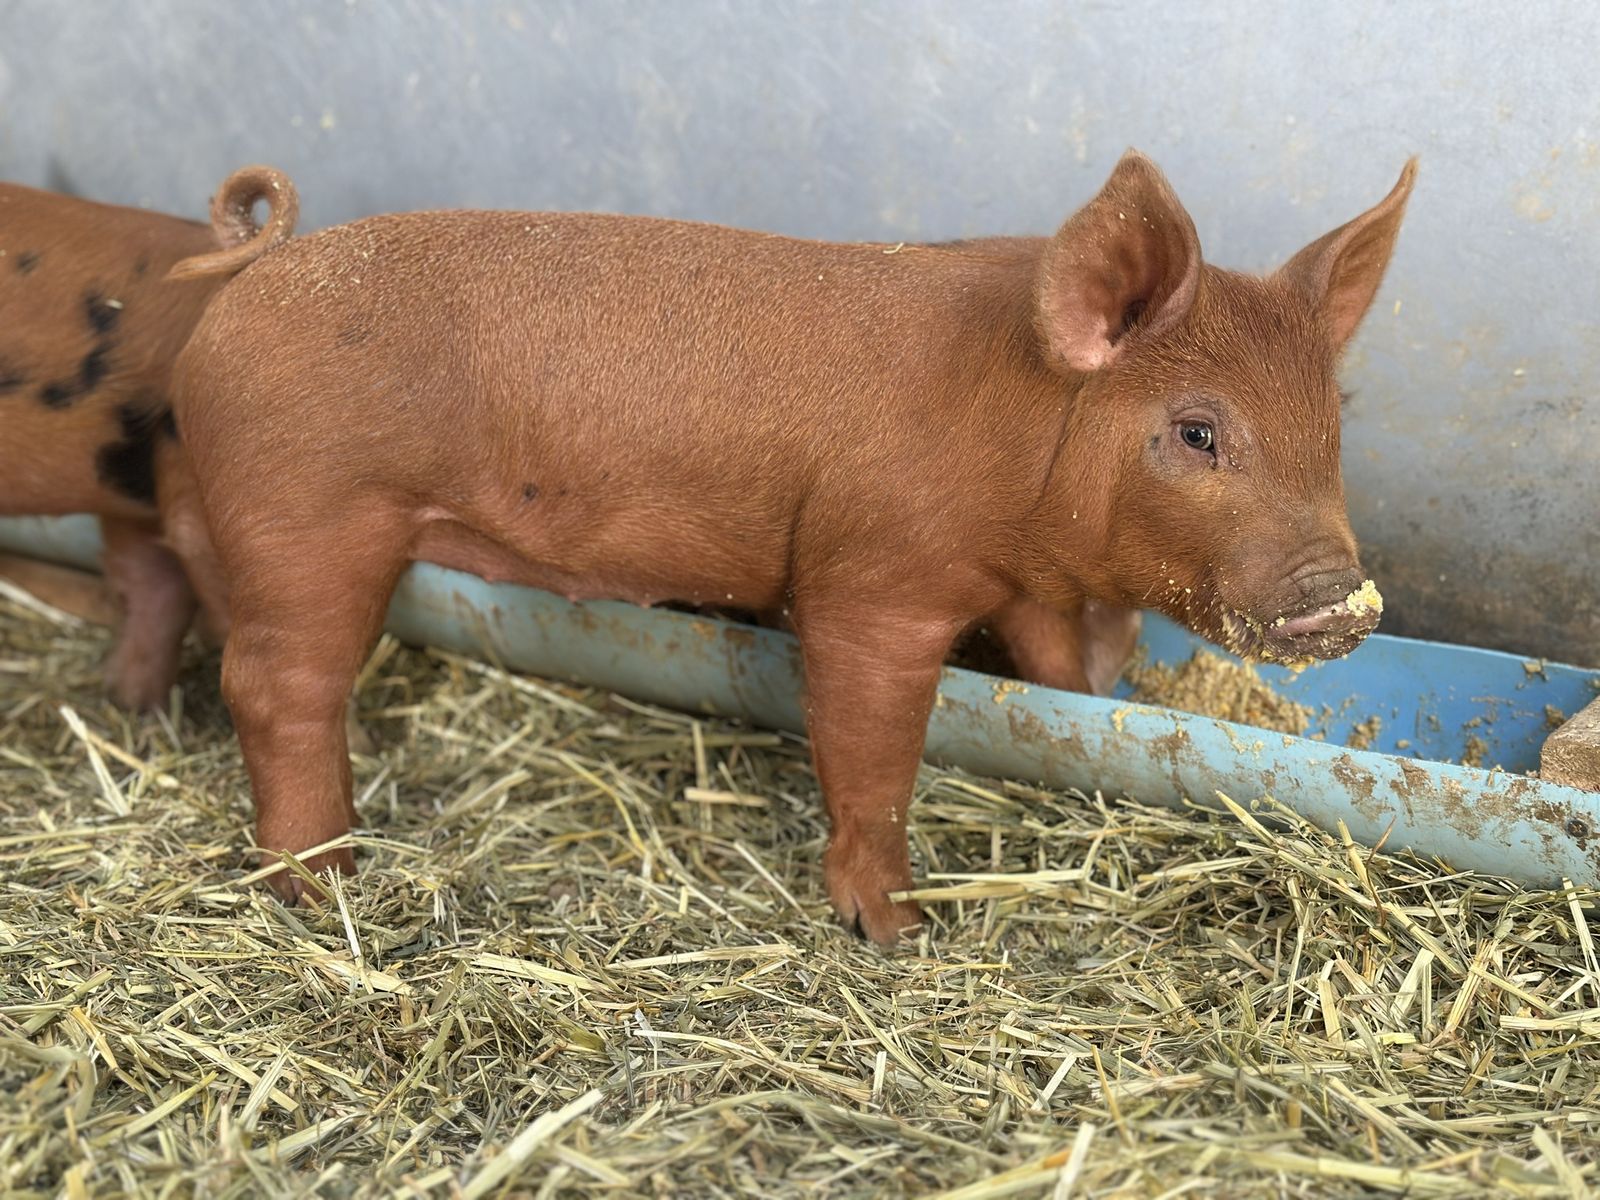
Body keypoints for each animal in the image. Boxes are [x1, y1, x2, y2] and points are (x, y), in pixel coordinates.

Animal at [168, 151, 1414, 943]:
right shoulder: (872, 584)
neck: (1017, 439)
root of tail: (248, 278)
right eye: (1197, 432)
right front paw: (895, 930)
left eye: (1335, 420)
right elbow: (871, 756)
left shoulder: (1021, 585)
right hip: (313, 512)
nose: (1339, 594)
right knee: (276, 684)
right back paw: (322, 880)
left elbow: (1057, 665)